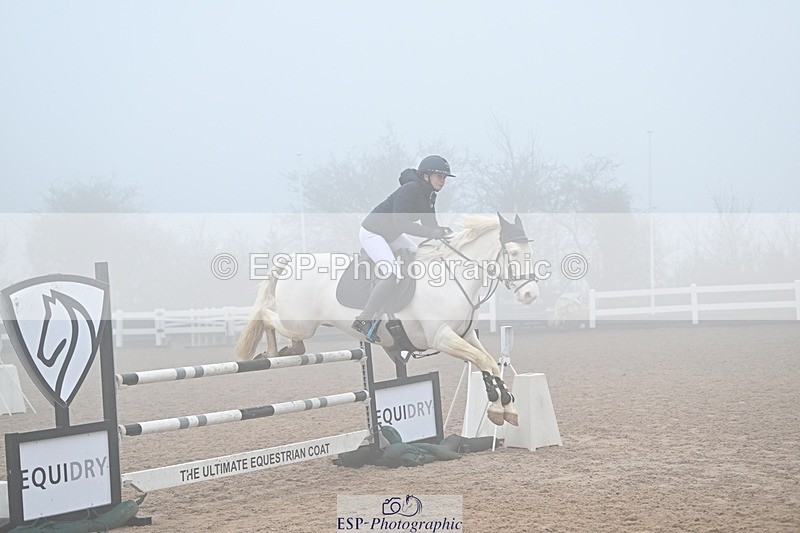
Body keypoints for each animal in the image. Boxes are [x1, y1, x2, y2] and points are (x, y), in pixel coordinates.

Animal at [235, 213, 539, 426]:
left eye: (530, 254)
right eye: (513, 253)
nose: (530, 295)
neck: (452, 278)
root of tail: (293, 261)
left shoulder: (465, 336)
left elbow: (489, 363)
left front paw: (506, 409)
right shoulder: (441, 338)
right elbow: (484, 361)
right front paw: (500, 408)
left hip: (301, 326)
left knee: (294, 341)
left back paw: (284, 351)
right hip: (299, 322)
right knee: (266, 315)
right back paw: (271, 352)